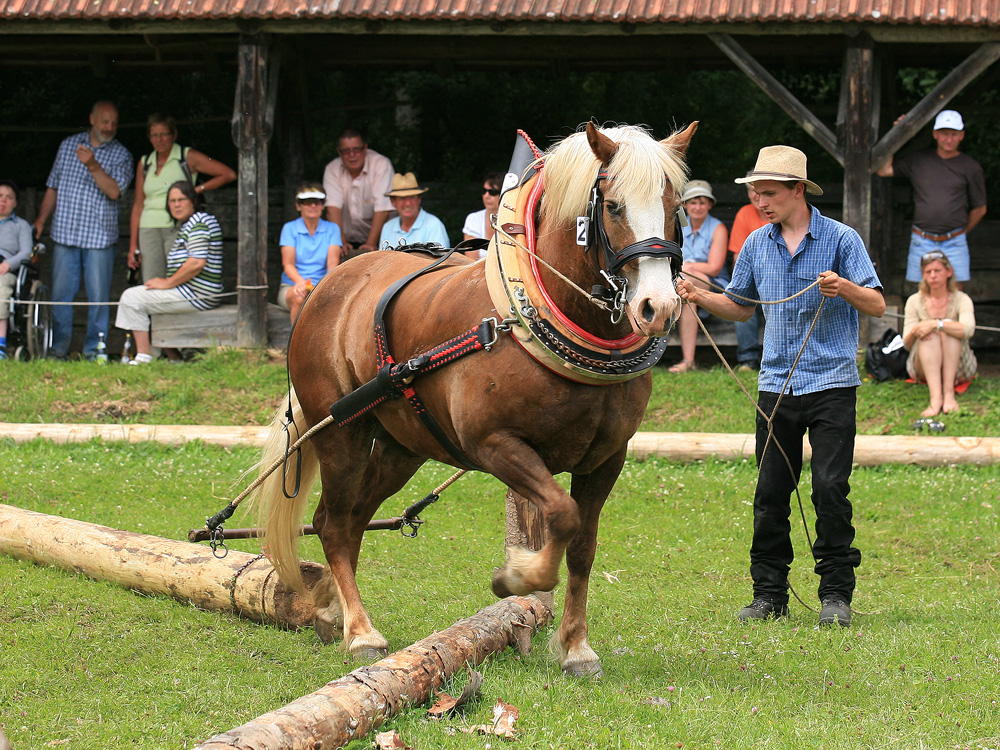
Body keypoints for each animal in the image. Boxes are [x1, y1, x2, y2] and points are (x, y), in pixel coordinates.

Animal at [252, 120, 696, 680]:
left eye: (675, 204)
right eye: (613, 206)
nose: (657, 307)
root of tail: (328, 285)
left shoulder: (606, 459)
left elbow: (583, 546)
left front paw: (576, 647)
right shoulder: (496, 445)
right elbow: (562, 514)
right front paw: (517, 577)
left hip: (402, 449)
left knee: (348, 521)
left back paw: (334, 611)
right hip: (341, 436)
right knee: (332, 525)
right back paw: (362, 632)